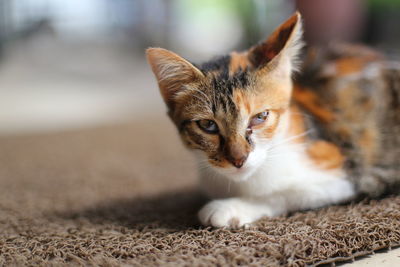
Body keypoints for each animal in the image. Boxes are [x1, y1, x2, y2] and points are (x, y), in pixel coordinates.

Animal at [146, 12, 400, 229]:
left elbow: (283, 194)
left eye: (260, 117)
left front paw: (230, 207)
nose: (238, 159)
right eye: (208, 125)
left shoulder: (347, 171)